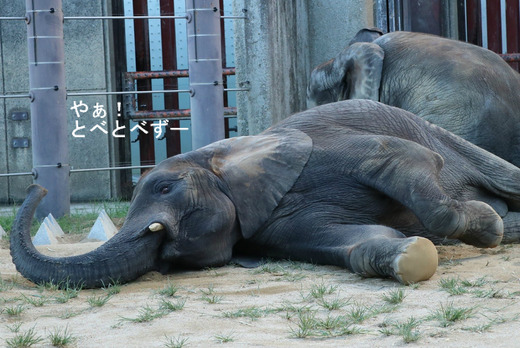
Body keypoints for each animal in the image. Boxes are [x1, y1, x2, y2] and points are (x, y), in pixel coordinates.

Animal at [9, 100, 520, 288]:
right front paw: (412, 256)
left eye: (165, 187)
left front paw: (488, 225)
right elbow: (358, 243)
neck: (226, 152)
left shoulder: (324, 152)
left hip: (451, 140)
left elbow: (398, 156)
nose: (37, 183)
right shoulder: (276, 228)